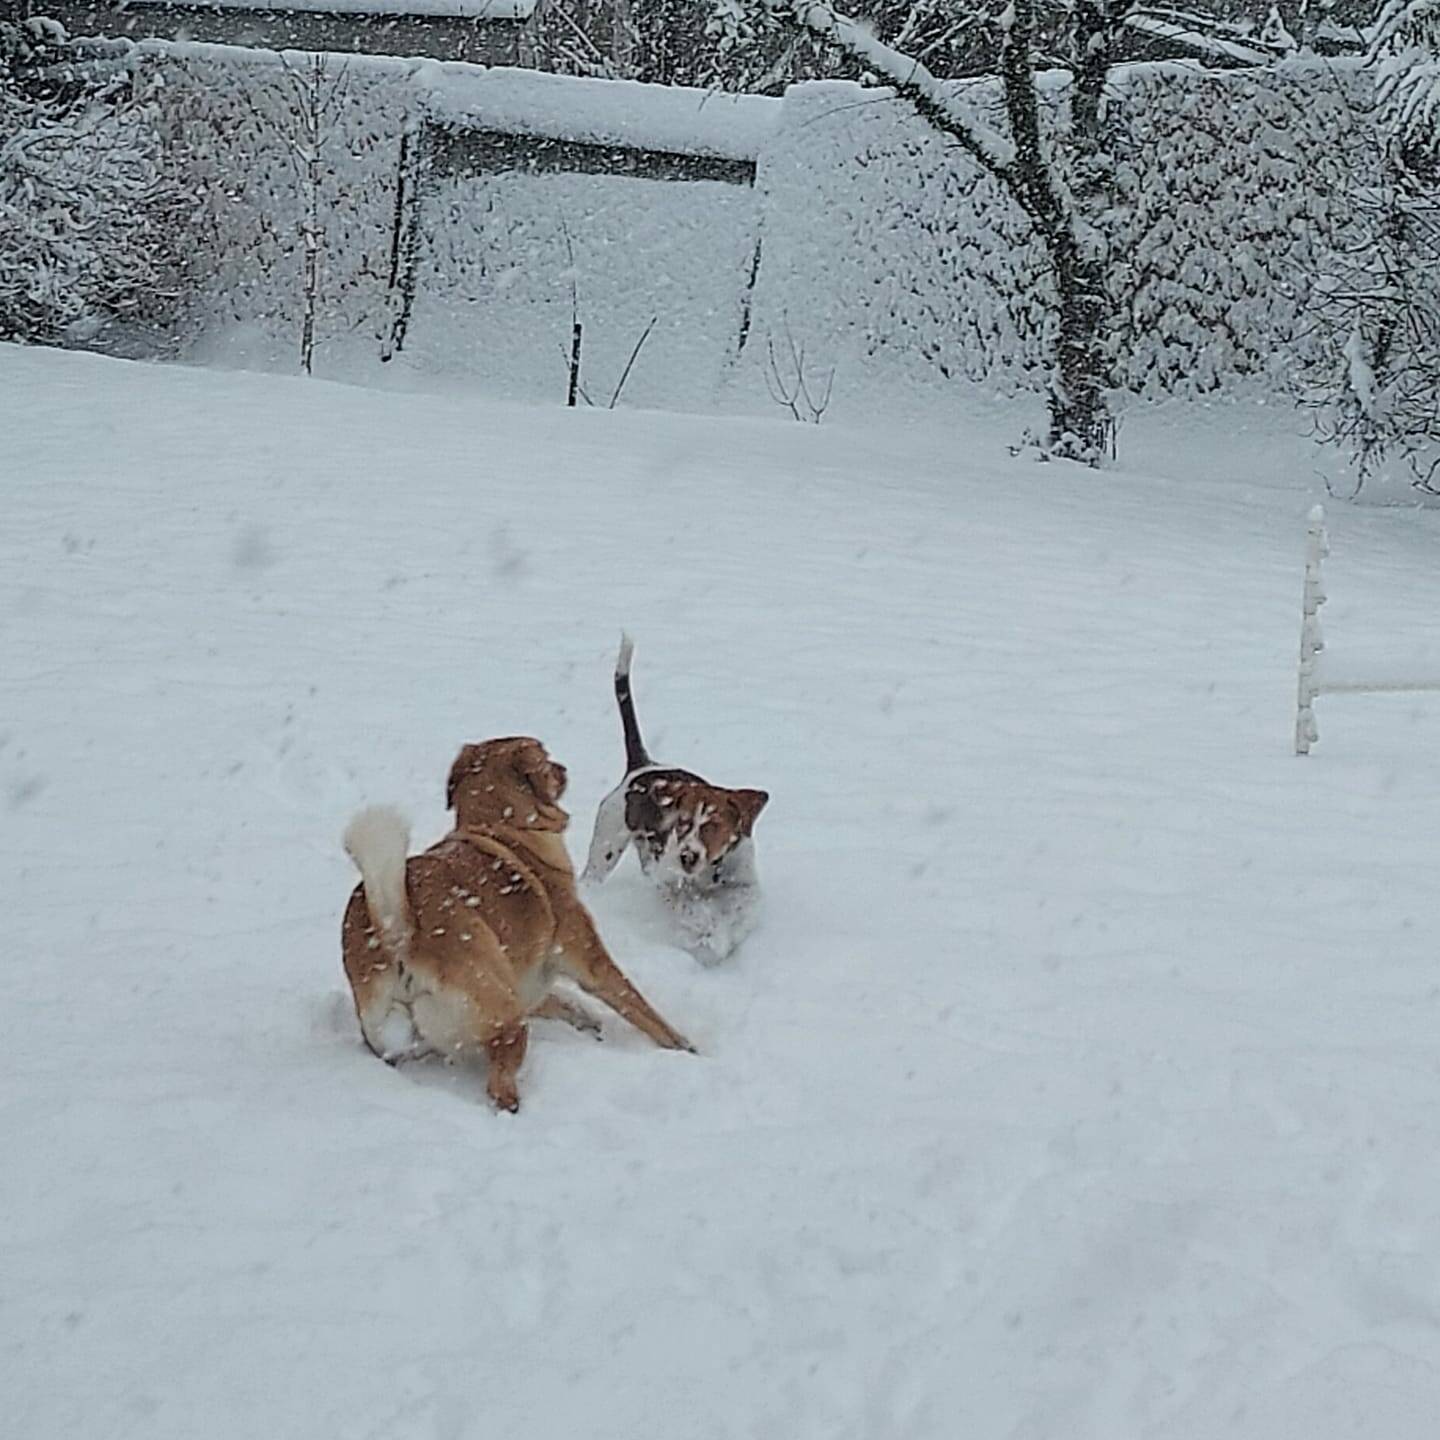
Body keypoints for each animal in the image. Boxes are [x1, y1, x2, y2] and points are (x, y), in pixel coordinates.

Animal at [342, 737, 691, 1105]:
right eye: (546, 759)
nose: (564, 767)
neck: (503, 826)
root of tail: (396, 932)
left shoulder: (527, 981)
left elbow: (562, 1002)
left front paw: (586, 1019)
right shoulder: (589, 961)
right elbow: (639, 1007)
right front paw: (685, 1046)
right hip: (506, 1016)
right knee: (500, 1085)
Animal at [581, 636, 771, 961]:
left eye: (713, 825)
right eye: (682, 823)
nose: (687, 856)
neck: (710, 871)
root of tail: (643, 764)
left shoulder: (745, 883)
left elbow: (742, 909)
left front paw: (726, 936)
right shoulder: (668, 879)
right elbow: (689, 908)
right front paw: (708, 934)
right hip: (606, 845)